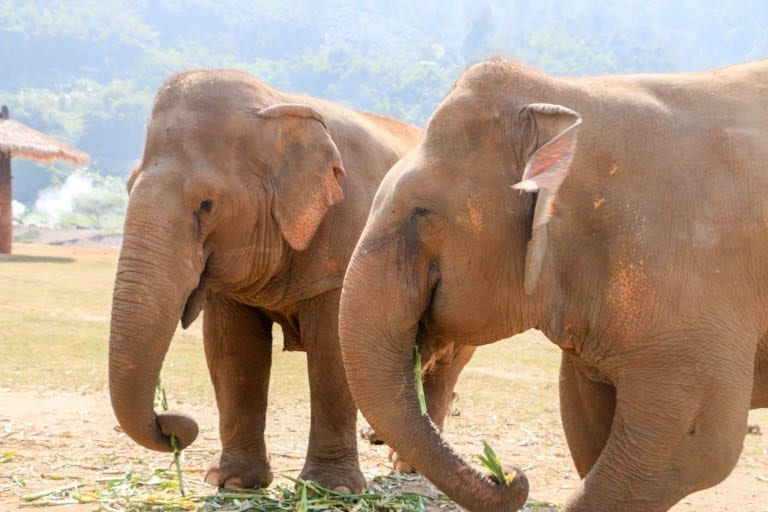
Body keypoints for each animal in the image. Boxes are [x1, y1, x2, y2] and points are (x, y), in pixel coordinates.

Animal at [106, 69, 464, 492]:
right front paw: (232, 482)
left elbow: (333, 352)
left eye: (207, 205)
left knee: (446, 365)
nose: (176, 424)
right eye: (128, 187)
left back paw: (410, 467)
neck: (276, 104)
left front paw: (331, 489)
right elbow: (232, 352)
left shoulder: (350, 237)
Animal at [340, 57, 768, 512]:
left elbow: (695, 448)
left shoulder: (693, 282)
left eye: (423, 212)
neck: (565, 98)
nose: (507, 474)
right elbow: (585, 422)